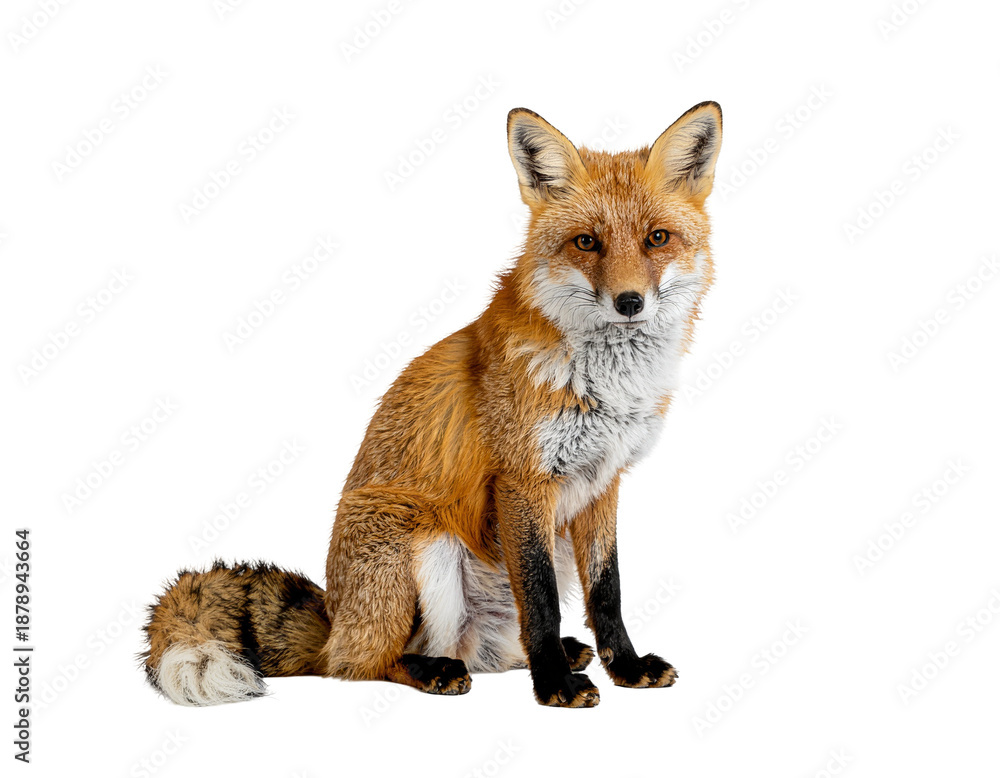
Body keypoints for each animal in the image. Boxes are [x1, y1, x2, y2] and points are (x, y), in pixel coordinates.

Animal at [143, 101, 723, 708]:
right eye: (587, 242)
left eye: (657, 238)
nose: (629, 302)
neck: (607, 385)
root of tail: (333, 618)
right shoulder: (522, 480)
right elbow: (541, 599)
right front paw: (556, 688)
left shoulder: (602, 481)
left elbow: (606, 594)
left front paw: (625, 667)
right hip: (420, 543)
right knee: (363, 664)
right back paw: (439, 670)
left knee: (492, 648)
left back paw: (554, 653)